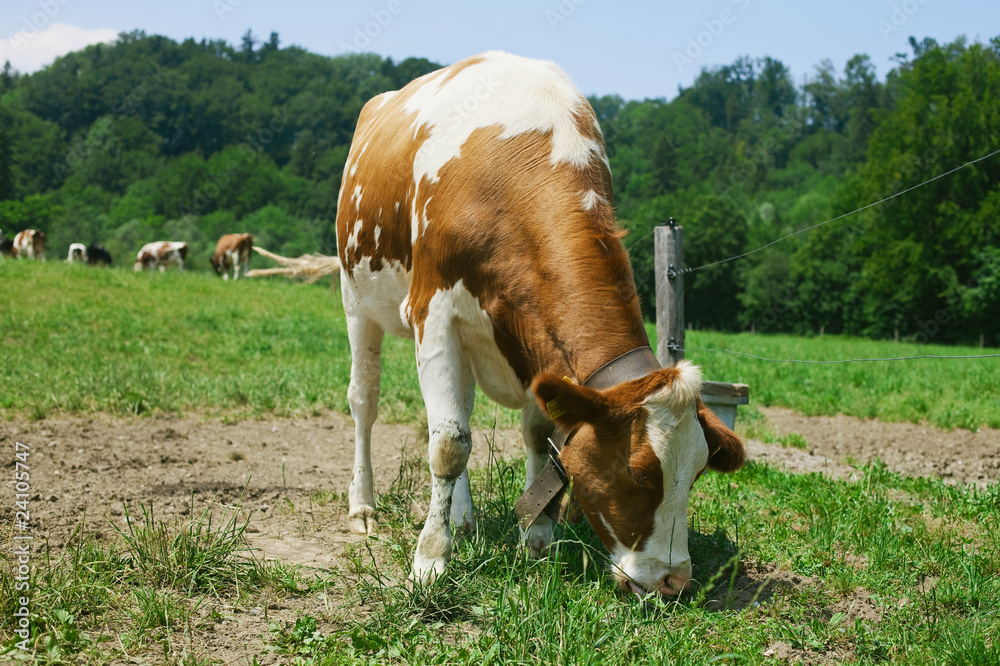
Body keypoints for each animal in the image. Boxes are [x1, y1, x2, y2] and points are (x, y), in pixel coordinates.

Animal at [336, 51, 746, 596]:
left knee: (461, 411)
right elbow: (448, 444)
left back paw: (462, 517)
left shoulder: (535, 341)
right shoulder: (434, 312)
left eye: (698, 472)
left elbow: (535, 436)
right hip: (356, 300)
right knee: (367, 402)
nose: (675, 582)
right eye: (639, 474)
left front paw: (537, 540)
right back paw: (364, 506)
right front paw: (430, 559)